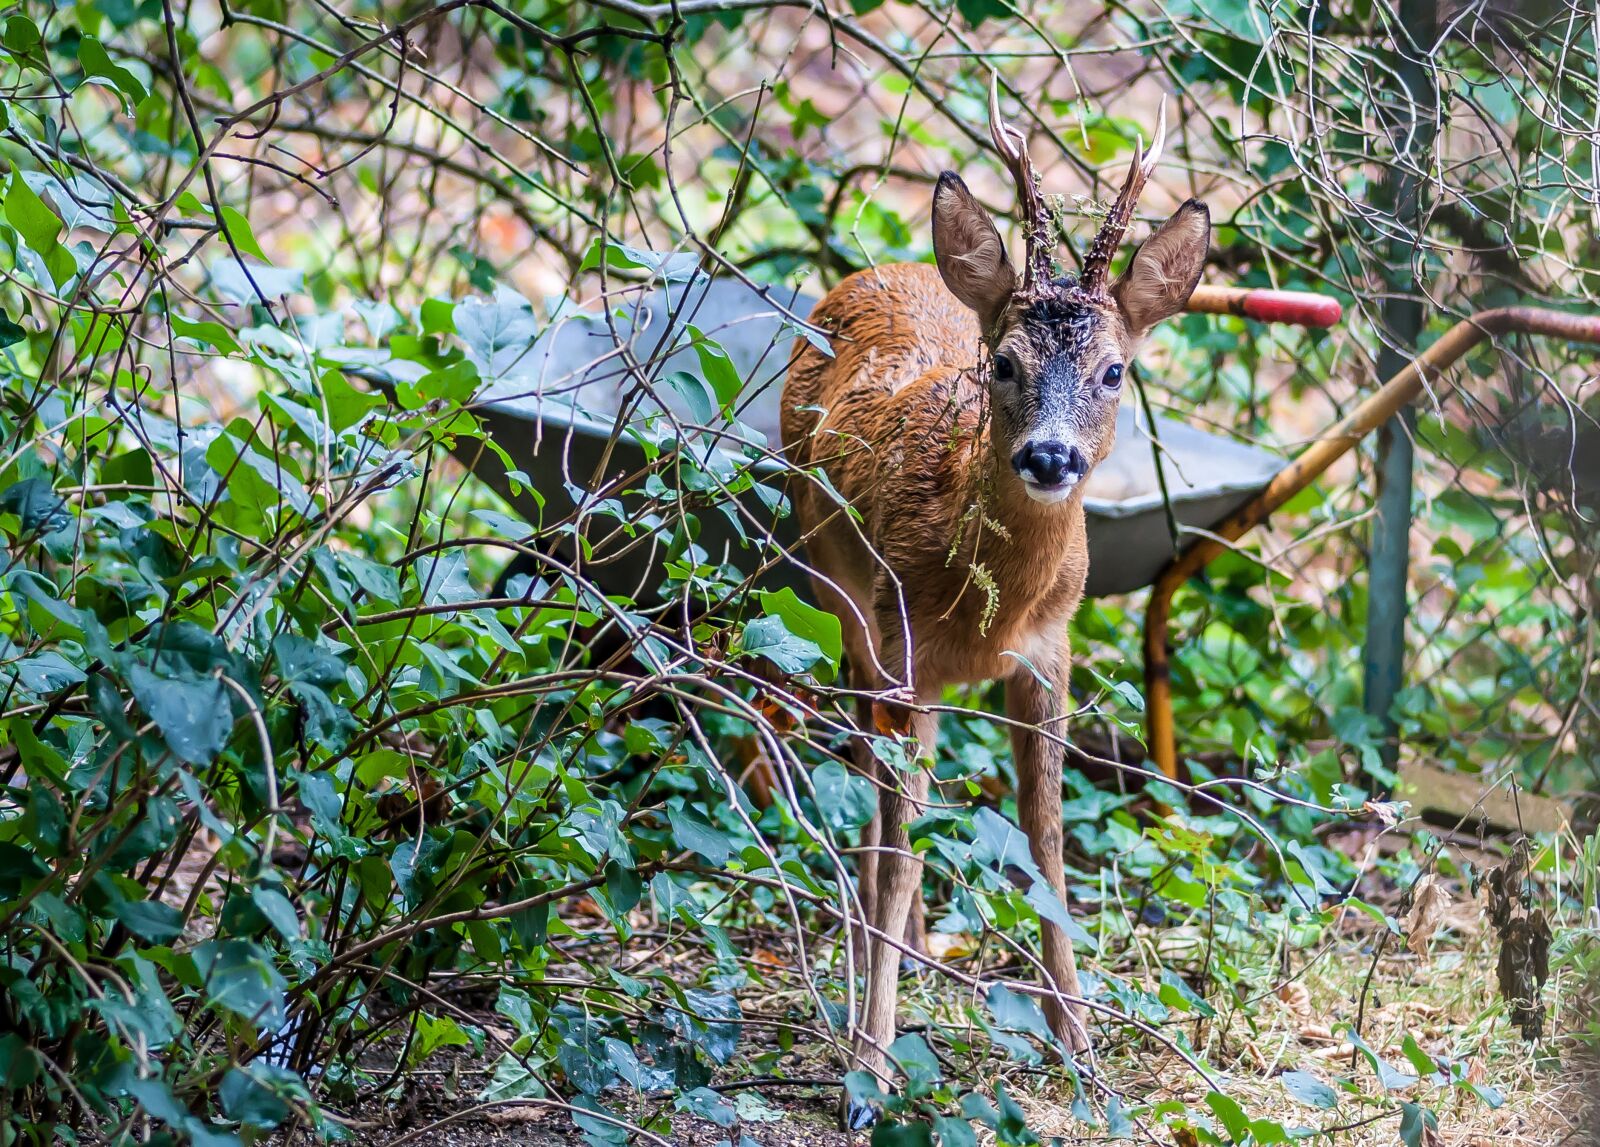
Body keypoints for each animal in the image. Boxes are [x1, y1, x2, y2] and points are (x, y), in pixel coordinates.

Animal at [780, 80, 1209, 1127]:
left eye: (1114, 371)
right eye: (1006, 363)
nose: (1050, 457)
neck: (992, 614)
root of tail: (886, 267)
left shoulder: (1051, 655)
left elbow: (1050, 848)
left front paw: (1084, 1051)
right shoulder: (909, 652)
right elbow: (904, 849)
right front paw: (871, 1070)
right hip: (833, 592)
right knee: (865, 783)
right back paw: (863, 973)